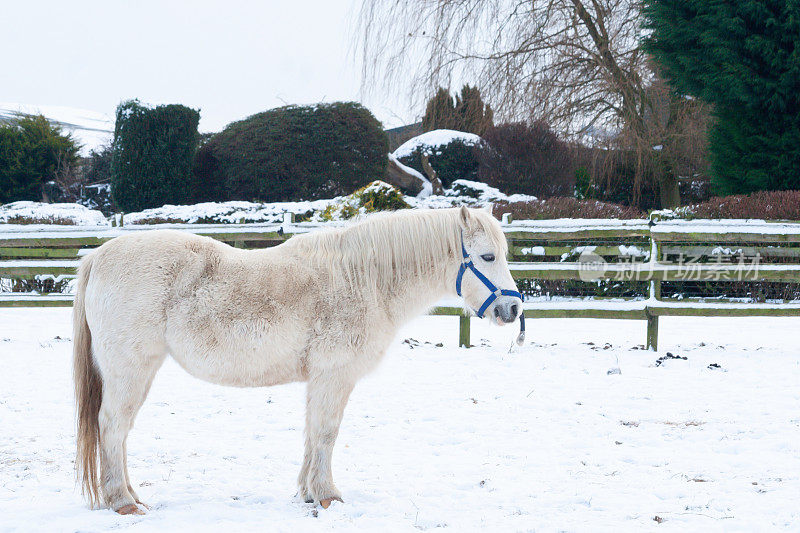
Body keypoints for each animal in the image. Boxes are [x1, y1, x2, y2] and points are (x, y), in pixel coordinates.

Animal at [72, 206, 520, 512]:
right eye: (488, 257)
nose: (512, 309)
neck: (363, 279)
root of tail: (98, 257)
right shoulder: (335, 376)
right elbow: (326, 432)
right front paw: (328, 496)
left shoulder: (320, 379)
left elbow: (312, 433)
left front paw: (308, 493)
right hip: (130, 370)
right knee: (112, 426)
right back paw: (122, 502)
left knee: (120, 432)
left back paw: (129, 495)